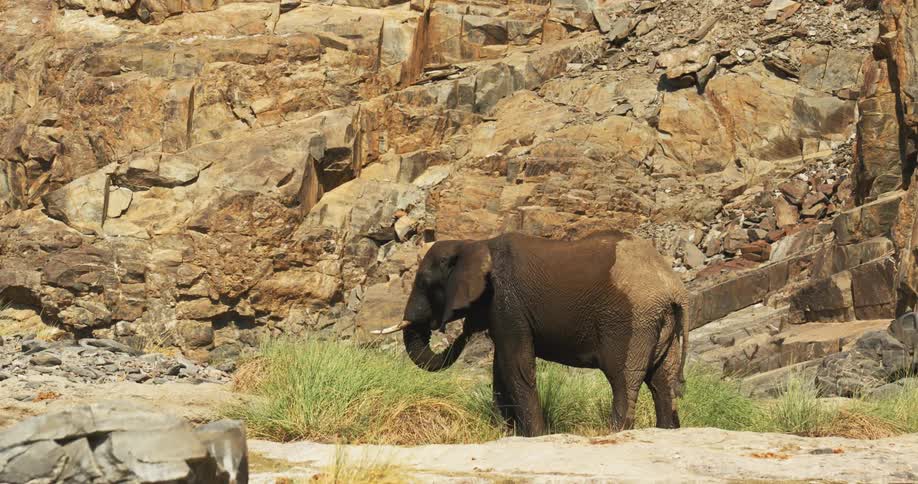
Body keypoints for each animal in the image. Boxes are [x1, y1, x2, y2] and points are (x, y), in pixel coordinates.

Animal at [373, 230, 690, 437]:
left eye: (425, 282)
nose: (461, 330)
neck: (476, 244)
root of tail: (673, 288)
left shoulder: (507, 301)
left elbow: (517, 366)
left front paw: (534, 436)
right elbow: (501, 368)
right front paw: (507, 434)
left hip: (631, 322)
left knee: (624, 380)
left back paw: (615, 432)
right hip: (663, 324)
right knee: (661, 381)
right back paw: (666, 430)